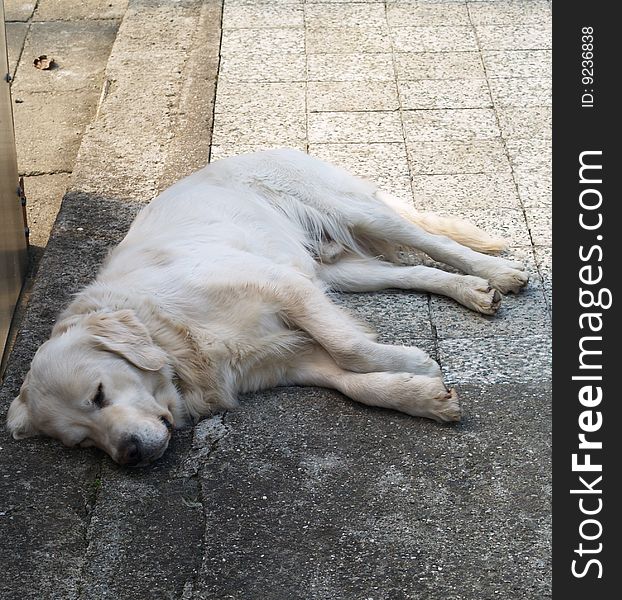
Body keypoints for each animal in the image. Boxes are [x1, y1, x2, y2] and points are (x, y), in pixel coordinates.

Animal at [7, 149, 528, 464]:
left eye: (98, 394)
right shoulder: (286, 358)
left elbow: (350, 348)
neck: (174, 337)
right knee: (415, 271)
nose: (129, 454)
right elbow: (353, 383)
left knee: (432, 241)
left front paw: (415, 362)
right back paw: (474, 291)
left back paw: (499, 272)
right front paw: (423, 396)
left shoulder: (282, 286)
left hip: (355, 213)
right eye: (81, 441)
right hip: (339, 271)